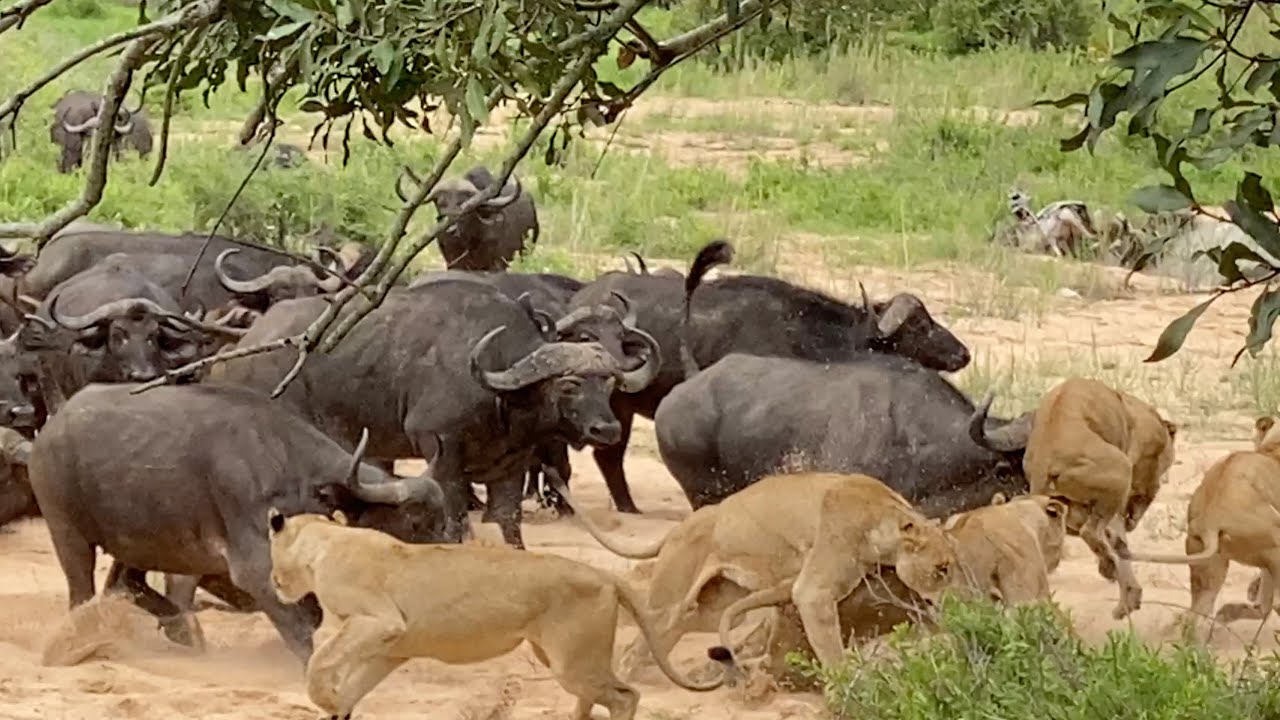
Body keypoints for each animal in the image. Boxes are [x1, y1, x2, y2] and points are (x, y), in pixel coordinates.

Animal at [29, 382, 448, 660]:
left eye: (443, 522)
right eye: (414, 524)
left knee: (123, 583)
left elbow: (310, 615)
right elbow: (300, 625)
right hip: (67, 533)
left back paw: (182, 630)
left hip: (141, 541)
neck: (291, 468)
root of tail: (51, 426)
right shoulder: (253, 567)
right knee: (82, 594)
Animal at [208, 276, 659, 549]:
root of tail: (250, 340)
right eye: (569, 385)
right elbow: (456, 517)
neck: (498, 392)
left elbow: (509, 522)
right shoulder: (441, 450)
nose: (607, 429)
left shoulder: (510, 467)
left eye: (609, 384)